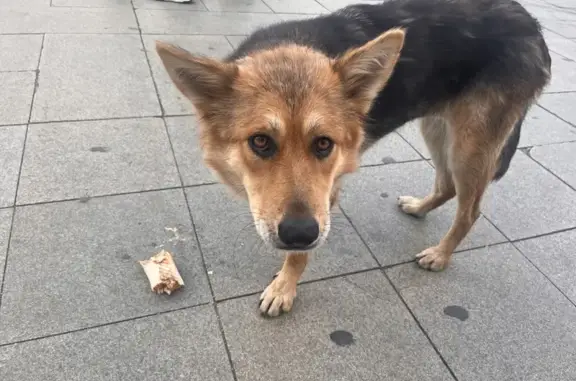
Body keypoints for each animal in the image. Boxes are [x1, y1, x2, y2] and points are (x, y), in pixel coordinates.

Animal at [155, 0, 552, 316]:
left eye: (323, 144)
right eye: (261, 142)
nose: (299, 233)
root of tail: (531, 22)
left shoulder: (325, 197)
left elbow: (299, 256)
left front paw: (284, 287)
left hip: (469, 144)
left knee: (469, 211)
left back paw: (440, 255)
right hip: (438, 129)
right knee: (447, 186)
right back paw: (420, 208)